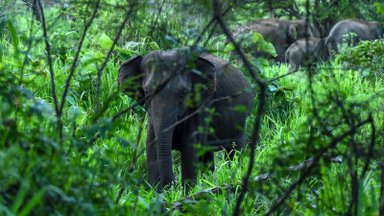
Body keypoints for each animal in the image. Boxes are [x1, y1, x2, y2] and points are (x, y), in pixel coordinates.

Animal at [118, 47, 254, 189]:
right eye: (147, 91)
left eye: (183, 92)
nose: (171, 185)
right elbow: (152, 151)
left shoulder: (201, 107)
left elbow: (189, 152)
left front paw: (186, 192)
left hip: (241, 121)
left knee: (234, 151)